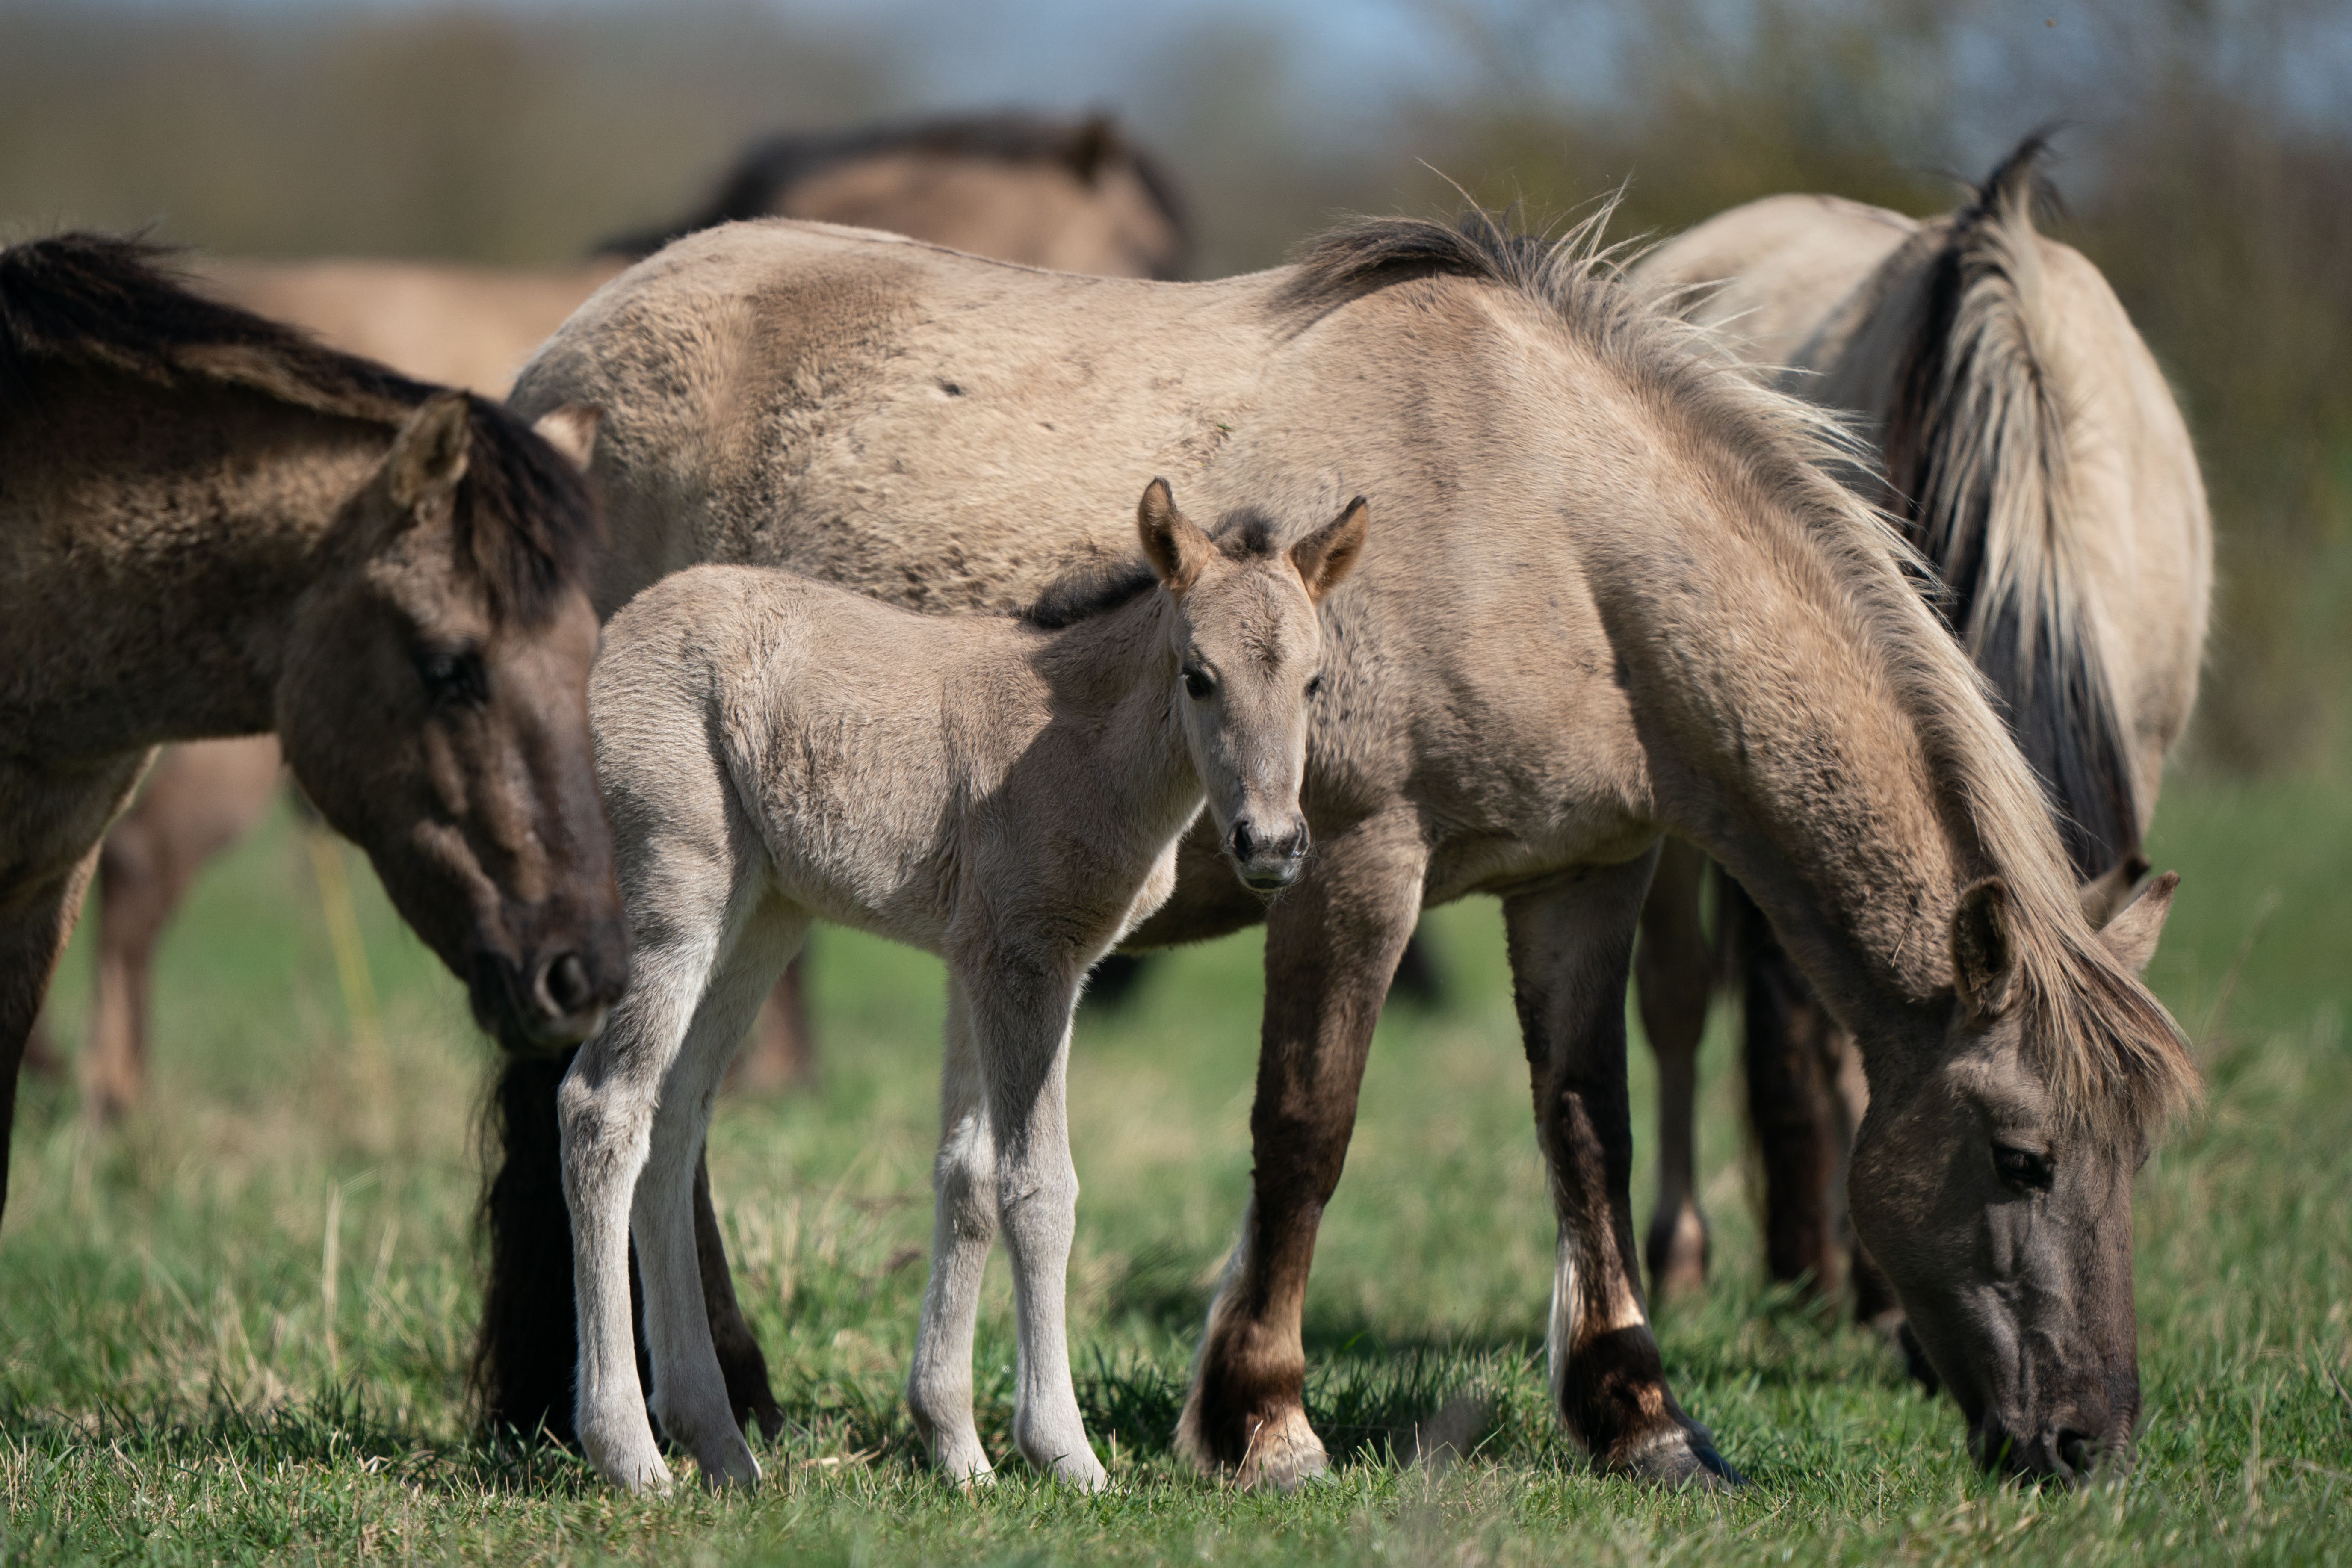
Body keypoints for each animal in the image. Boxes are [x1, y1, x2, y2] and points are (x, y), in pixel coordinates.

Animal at [562, 480, 1363, 1492]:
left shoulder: (977, 963)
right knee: (604, 1109)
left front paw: (956, 1447)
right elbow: (1039, 1188)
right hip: (675, 899)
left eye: (1313, 682)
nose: (1270, 844)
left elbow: (969, 1173)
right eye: (1198, 676)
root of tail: (612, 638)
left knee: (674, 1121)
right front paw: (1065, 1452)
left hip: (762, 920)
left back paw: (724, 1448)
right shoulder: (1028, 962)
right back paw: (631, 1455)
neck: (1082, 744)